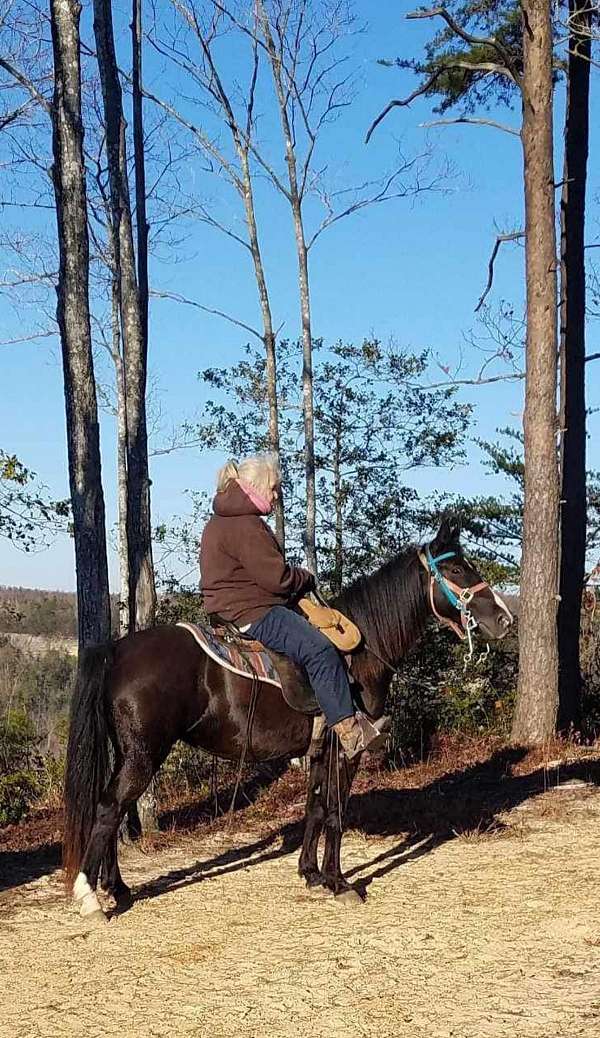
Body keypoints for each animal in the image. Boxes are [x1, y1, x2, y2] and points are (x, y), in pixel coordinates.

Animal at [61, 519, 508, 925]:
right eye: (456, 569)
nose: (504, 619)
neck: (362, 652)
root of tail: (117, 650)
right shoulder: (346, 750)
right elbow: (335, 812)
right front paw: (339, 883)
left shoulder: (318, 750)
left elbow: (314, 808)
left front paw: (311, 874)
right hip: (143, 755)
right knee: (109, 808)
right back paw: (92, 897)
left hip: (131, 754)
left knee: (117, 809)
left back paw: (118, 888)